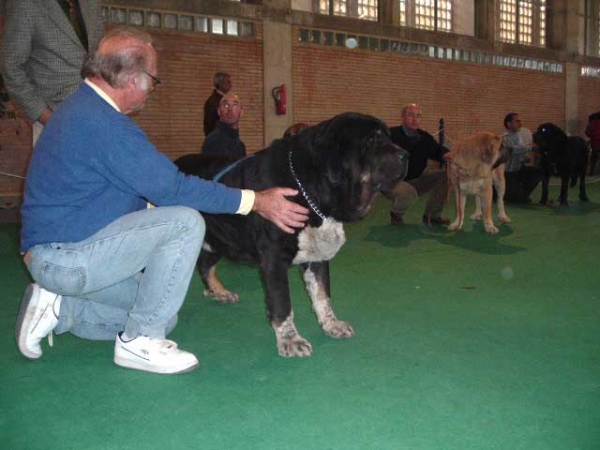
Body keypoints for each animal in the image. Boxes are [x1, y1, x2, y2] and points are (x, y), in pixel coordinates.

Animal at [173, 113, 408, 358]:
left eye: (387, 137)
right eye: (372, 140)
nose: (406, 156)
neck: (310, 190)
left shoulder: (317, 257)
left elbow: (322, 295)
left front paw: (331, 325)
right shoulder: (274, 258)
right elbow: (283, 303)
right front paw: (290, 340)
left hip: (221, 239)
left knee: (205, 264)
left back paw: (220, 292)